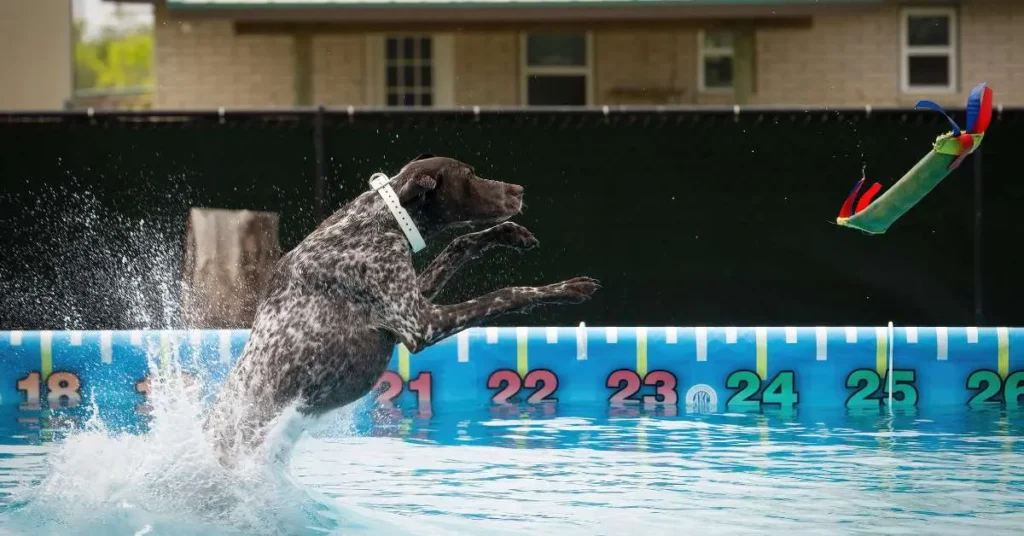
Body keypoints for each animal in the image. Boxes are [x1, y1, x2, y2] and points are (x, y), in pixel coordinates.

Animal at [202, 154, 598, 465]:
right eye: (469, 175)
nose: (519, 191)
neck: (381, 220)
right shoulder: (421, 323)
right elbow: (507, 294)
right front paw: (567, 289)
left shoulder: (414, 298)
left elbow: (460, 242)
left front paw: (509, 234)